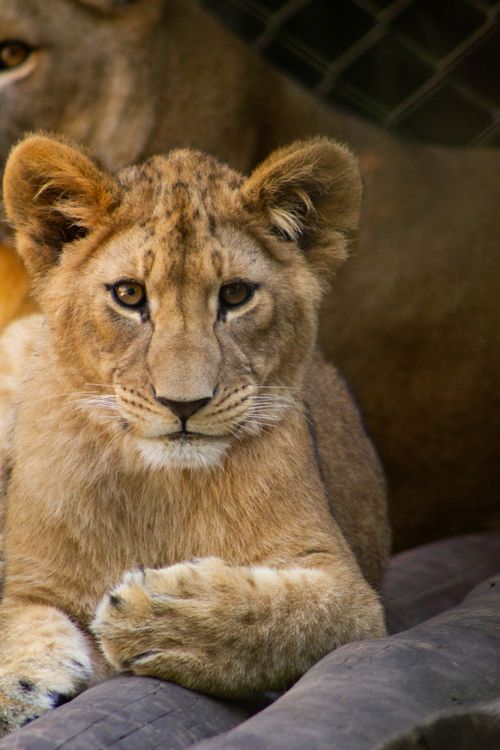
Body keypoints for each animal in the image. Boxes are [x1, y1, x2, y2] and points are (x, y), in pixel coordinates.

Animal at [0, 133, 389, 734]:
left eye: (234, 295)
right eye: (129, 295)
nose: (184, 403)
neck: (161, 484)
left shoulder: (353, 594)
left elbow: (286, 617)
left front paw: (155, 611)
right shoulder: (26, 576)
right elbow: (14, 619)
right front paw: (17, 687)